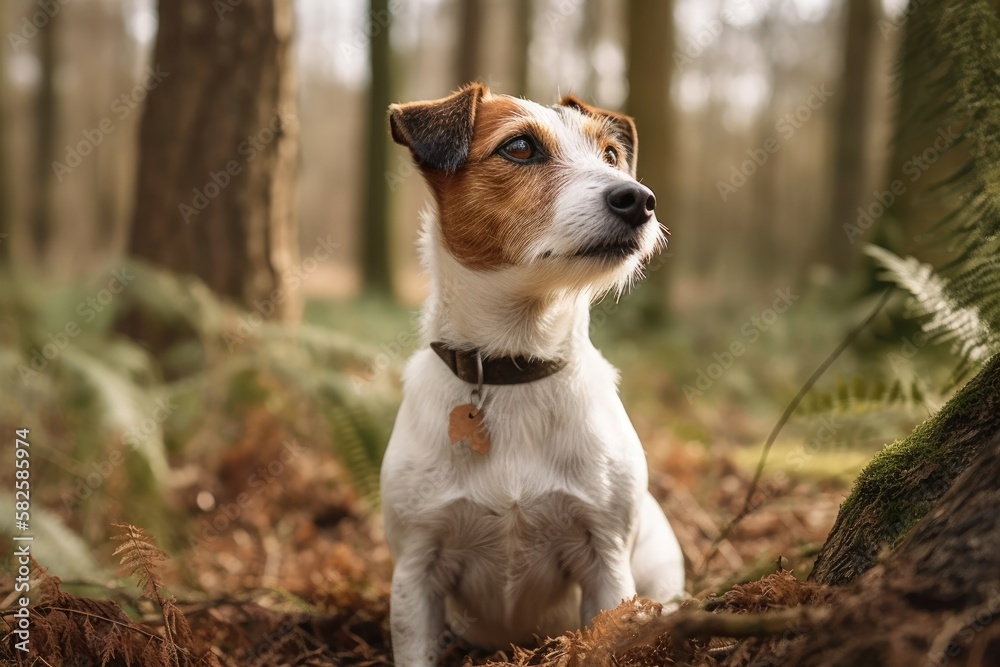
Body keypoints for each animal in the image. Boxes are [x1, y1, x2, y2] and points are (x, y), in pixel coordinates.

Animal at [378, 81, 684, 664]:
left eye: (611, 155)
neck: (516, 364)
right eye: (519, 148)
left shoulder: (606, 561)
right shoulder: (415, 570)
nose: (638, 198)